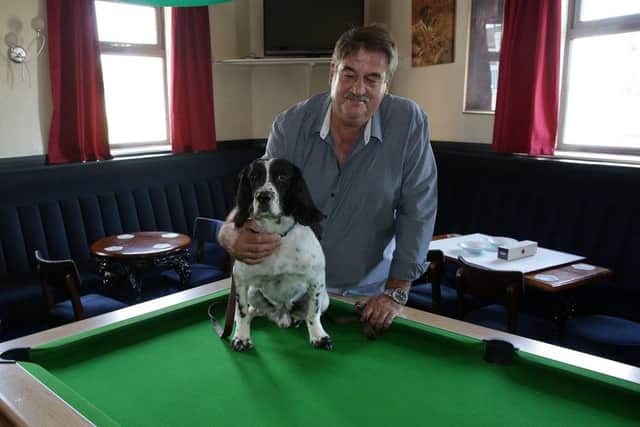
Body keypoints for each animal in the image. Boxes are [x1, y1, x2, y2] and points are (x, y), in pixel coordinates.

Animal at [231, 159, 332, 352]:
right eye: (253, 177)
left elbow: (313, 314)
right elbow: (242, 311)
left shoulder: (316, 279)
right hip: (254, 292)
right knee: (255, 311)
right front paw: (241, 337)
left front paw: (318, 336)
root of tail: (282, 313)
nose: (263, 197)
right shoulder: (241, 279)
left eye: (282, 177)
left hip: (325, 299)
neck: (276, 235)